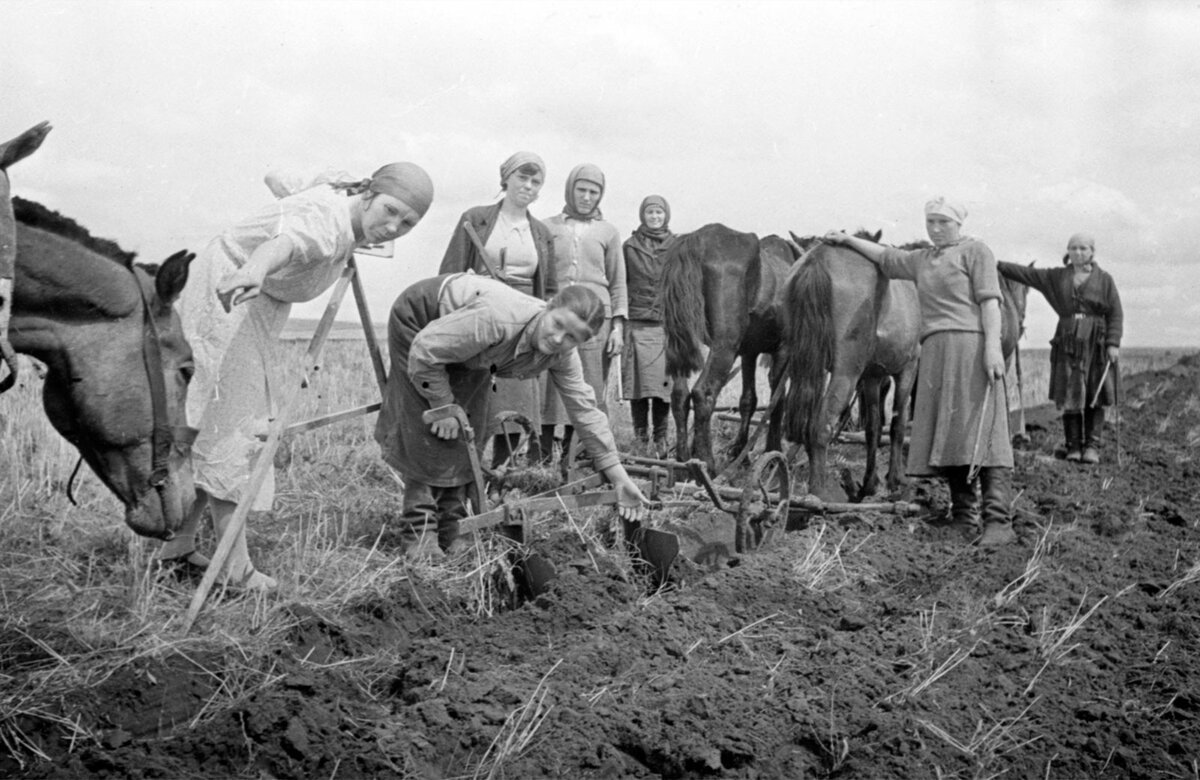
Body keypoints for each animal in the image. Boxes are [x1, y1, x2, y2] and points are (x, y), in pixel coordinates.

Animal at [667, 222, 796, 470]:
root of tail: (695, 241)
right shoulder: (783, 350)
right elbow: (777, 401)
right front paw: (773, 453)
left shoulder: (748, 353)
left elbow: (748, 400)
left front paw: (740, 453)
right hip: (724, 347)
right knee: (703, 393)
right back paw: (706, 462)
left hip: (679, 344)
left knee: (680, 395)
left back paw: (683, 459)